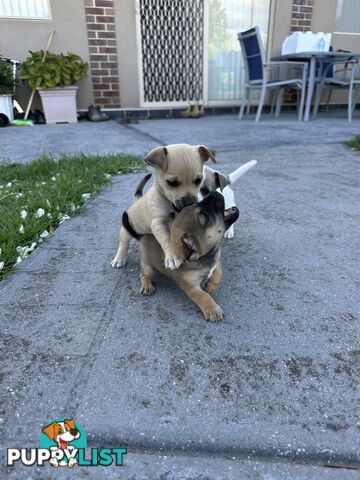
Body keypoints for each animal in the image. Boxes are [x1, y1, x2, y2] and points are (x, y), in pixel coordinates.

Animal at [111, 142, 215, 270]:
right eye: (172, 183)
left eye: (198, 180)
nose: (189, 204)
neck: (171, 205)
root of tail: (136, 201)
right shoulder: (158, 223)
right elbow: (167, 239)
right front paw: (173, 257)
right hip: (126, 230)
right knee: (123, 244)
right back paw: (119, 259)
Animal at [139, 189, 238, 320]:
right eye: (205, 218)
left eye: (195, 203)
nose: (213, 192)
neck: (205, 256)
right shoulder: (191, 287)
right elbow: (204, 297)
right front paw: (212, 309)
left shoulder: (217, 259)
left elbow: (217, 275)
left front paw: (210, 287)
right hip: (149, 267)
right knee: (144, 274)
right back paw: (147, 285)